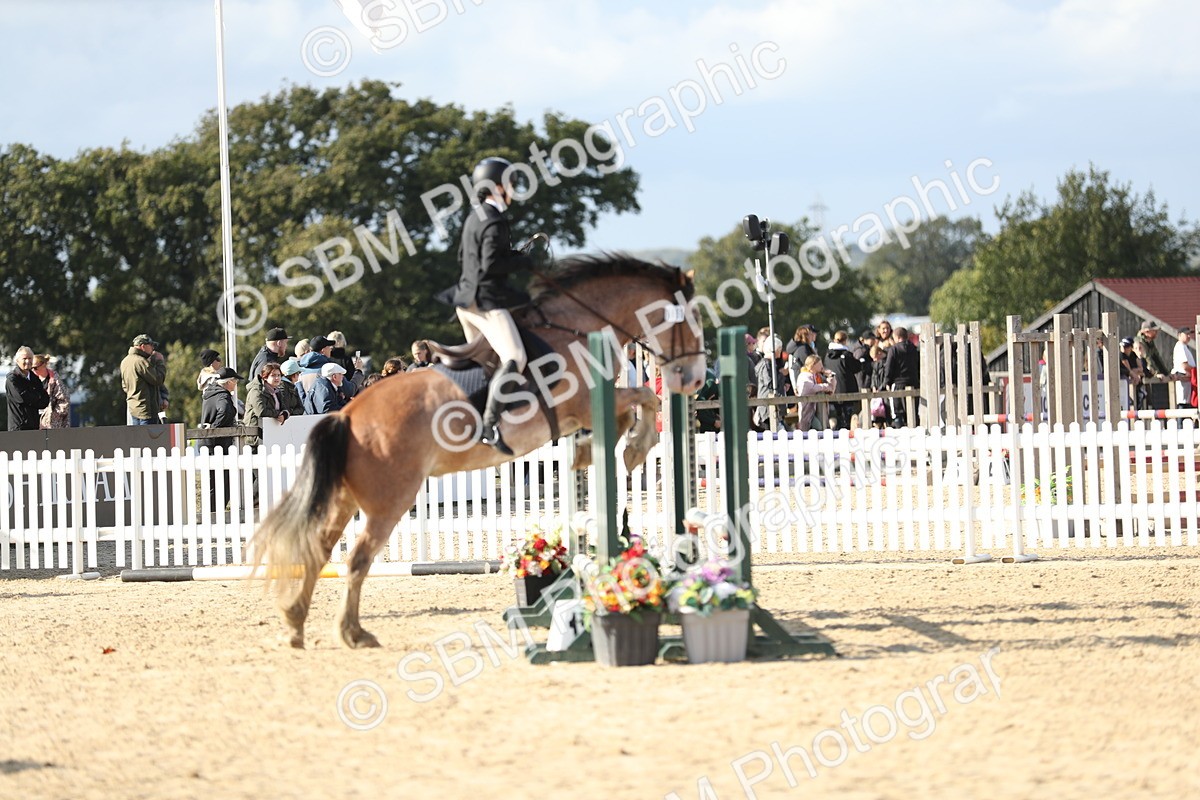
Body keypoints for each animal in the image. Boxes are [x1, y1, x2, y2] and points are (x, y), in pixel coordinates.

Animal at [252, 254, 707, 648]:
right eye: (694, 320)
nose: (696, 379)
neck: (579, 327)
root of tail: (348, 416)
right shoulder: (586, 402)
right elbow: (645, 397)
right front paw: (634, 449)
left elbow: (631, 410)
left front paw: (594, 453)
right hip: (388, 501)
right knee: (357, 559)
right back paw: (353, 633)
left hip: (347, 499)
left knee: (319, 549)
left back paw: (295, 624)